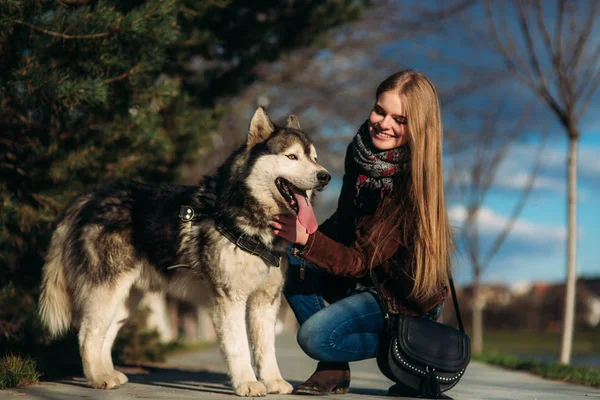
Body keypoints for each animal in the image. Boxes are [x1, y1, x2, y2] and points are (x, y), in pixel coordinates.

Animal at [38, 107, 328, 396]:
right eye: (291, 156)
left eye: (314, 158)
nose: (325, 176)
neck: (250, 222)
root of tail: (91, 196)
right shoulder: (229, 298)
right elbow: (239, 348)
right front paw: (247, 382)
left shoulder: (265, 301)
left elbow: (265, 348)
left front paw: (272, 380)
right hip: (106, 291)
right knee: (87, 334)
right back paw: (98, 378)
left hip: (124, 298)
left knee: (105, 335)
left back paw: (107, 372)